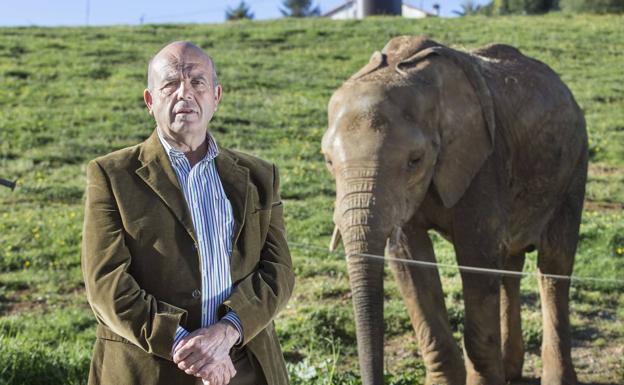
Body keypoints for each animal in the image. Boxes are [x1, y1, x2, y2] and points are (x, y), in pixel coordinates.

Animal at [324, 34, 588, 382]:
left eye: (415, 160)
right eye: (328, 161)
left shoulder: (483, 161)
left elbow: (477, 258)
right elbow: (410, 260)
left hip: (573, 166)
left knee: (554, 267)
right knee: (510, 265)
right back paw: (511, 371)